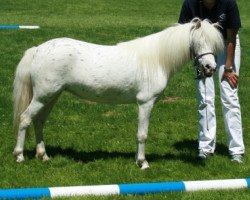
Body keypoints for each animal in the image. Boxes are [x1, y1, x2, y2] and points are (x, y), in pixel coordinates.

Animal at [13, 18, 223, 169]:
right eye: (198, 41)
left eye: (213, 44)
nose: (210, 68)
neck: (156, 60)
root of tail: (38, 50)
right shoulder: (146, 103)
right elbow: (142, 134)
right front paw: (143, 163)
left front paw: (138, 160)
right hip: (43, 96)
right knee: (25, 119)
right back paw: (19, 156)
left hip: (51, 96)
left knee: (39, 121)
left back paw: (44, 156)